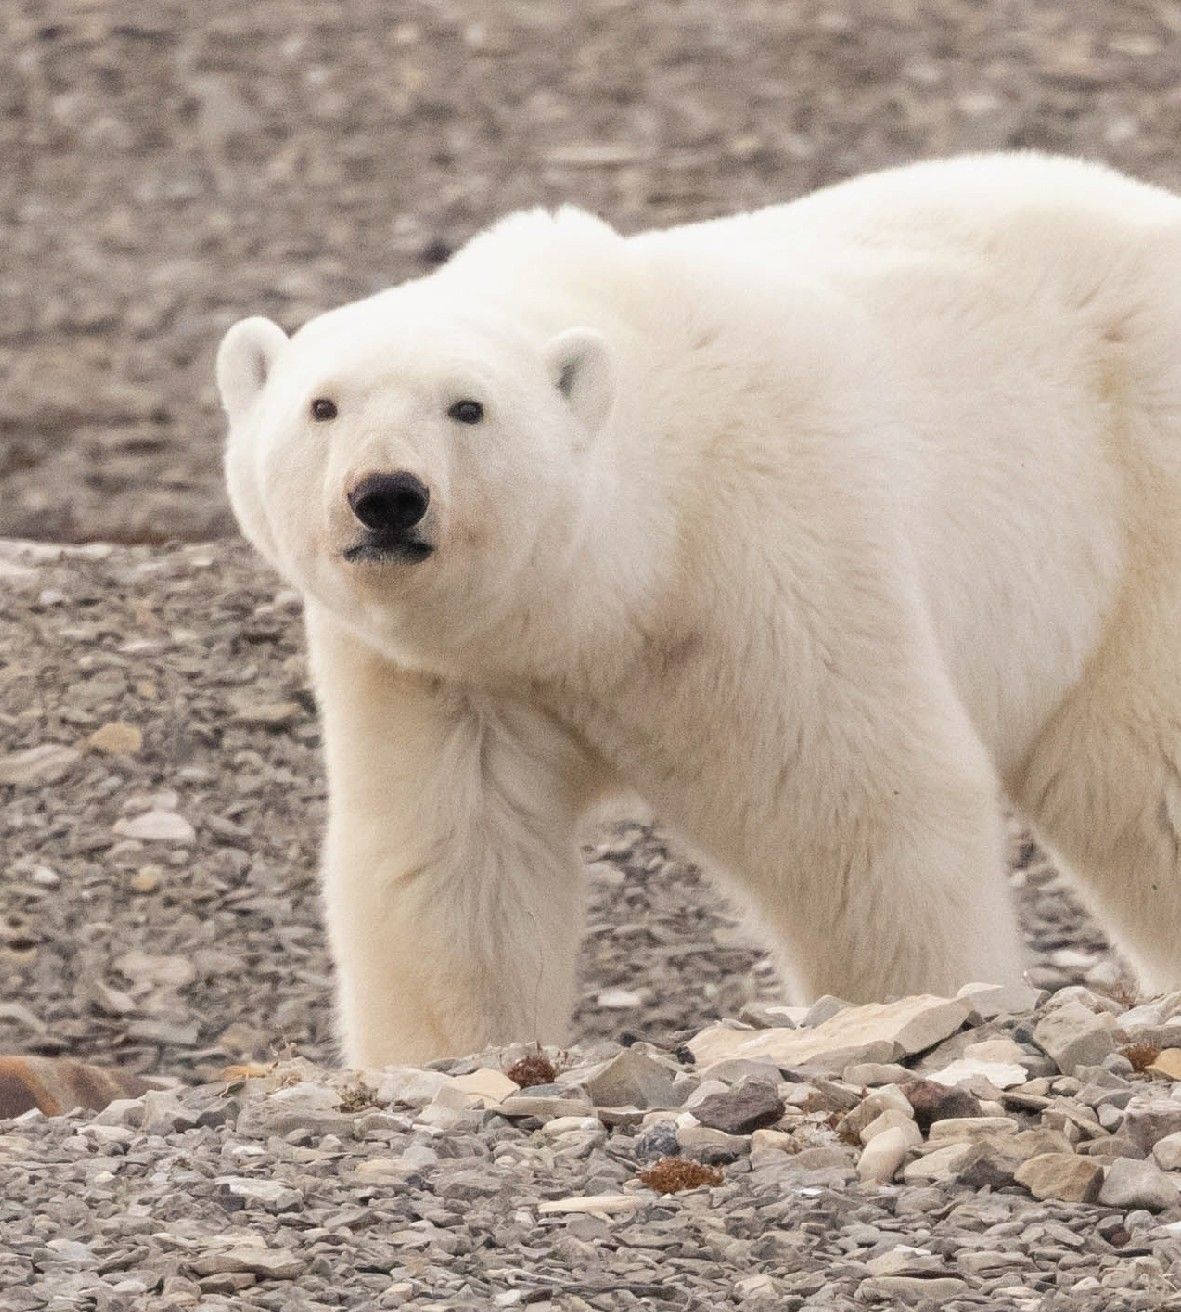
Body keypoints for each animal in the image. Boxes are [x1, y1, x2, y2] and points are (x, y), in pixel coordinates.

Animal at [219, 153, 1181, 1070]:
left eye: (468, 407)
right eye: (322, 405)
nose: (387, 495)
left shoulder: (769, 555)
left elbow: (860, 813)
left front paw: (919, 1008)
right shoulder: (447, 672)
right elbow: (454, 859)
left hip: (1134, 493)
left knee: (1136, 774)